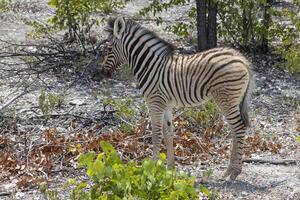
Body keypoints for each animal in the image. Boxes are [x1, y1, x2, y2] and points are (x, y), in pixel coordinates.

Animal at [101, 16, 253, 180]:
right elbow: (168, 133)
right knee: (234, 129)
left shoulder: (155, 103)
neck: (150, 66)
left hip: (226, 98)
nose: (103, 72)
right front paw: (170, 168)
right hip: (232, 100)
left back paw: (235, 171)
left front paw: (152, 168)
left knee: (239, 127)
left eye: (109, 49)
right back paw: (228, 171)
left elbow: (156, 135)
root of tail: (242, 59)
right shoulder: (166, 105)